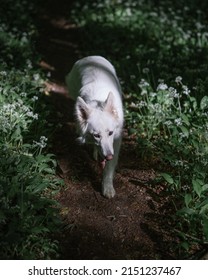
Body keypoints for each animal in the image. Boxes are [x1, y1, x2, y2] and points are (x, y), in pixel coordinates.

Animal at [65, 55, 123, 198]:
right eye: (96, 135)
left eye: (111, 133)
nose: (108, 156)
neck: (98, 101)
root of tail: (90, 57)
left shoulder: (116, 141)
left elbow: (109, 168)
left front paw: (107, 187)